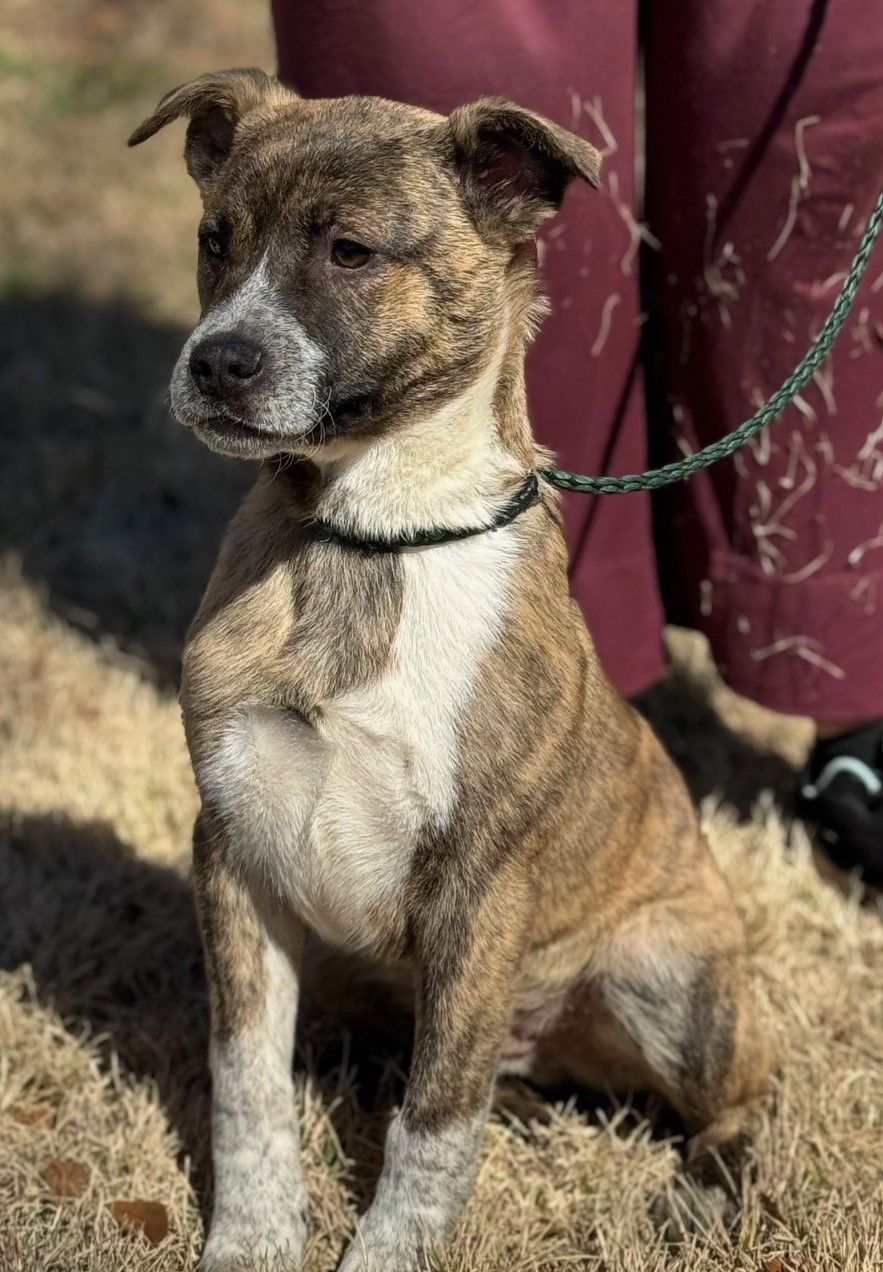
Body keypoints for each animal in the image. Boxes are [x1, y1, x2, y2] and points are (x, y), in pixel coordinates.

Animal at [127, 72, 773, 1272]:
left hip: (664, 974)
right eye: (213, 241)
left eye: (350, 252)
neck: (370, 539)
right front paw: (252, 1237)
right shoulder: (234, 852)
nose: (215, 362)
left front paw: (386, 1254)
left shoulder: (480, 887)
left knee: (728, 1096)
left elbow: (433, 1124)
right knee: (465, 1073)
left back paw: (704, 1192)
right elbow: (248, 1081)